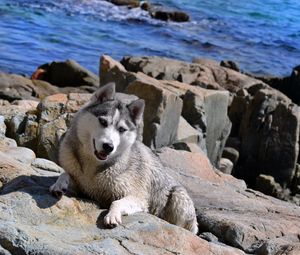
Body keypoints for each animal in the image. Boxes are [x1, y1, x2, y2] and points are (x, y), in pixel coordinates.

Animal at [50, 82, 198, 234]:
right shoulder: (82, 184)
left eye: (121, 129)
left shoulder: (138, 196)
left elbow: (116, 202)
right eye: (103, 121)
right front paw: (59, 184)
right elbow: (65, 174)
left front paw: (112, 215)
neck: (94, 165)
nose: (108, 146)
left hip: (178, 196)